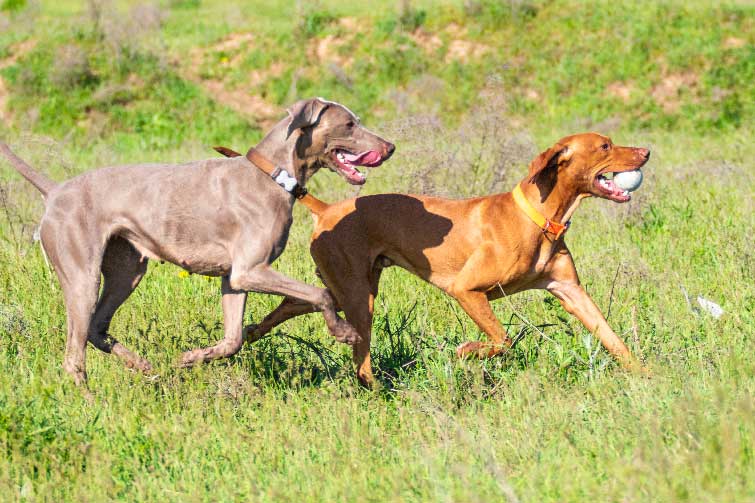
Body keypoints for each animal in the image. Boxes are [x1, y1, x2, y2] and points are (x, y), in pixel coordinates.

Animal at [2, 96, 396, 386]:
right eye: (349, 124)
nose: (390, 147)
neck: (273, 175)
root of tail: (55, 192)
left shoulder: (234, 279)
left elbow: (233, 340)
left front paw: (190, 358)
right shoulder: (250, 270)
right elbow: (322, 293)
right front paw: (344, 332)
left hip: (127, 269)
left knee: (97, 329)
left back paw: (145, 366)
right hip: (81, 273)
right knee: (74, 354)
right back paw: (92, 403)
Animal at [219, 133, 648, 386]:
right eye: (605, 146)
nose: (647, 151)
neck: (539, 219)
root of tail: (327, 209)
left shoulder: (571, 291)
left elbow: (612, 338)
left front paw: (645, 374)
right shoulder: (466, 290)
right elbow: (502, 340)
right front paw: (467, 351)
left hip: (344, 288)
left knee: (290, 305)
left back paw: (250, 333)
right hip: (358, 296)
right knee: (359, 354)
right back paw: (376, 388)